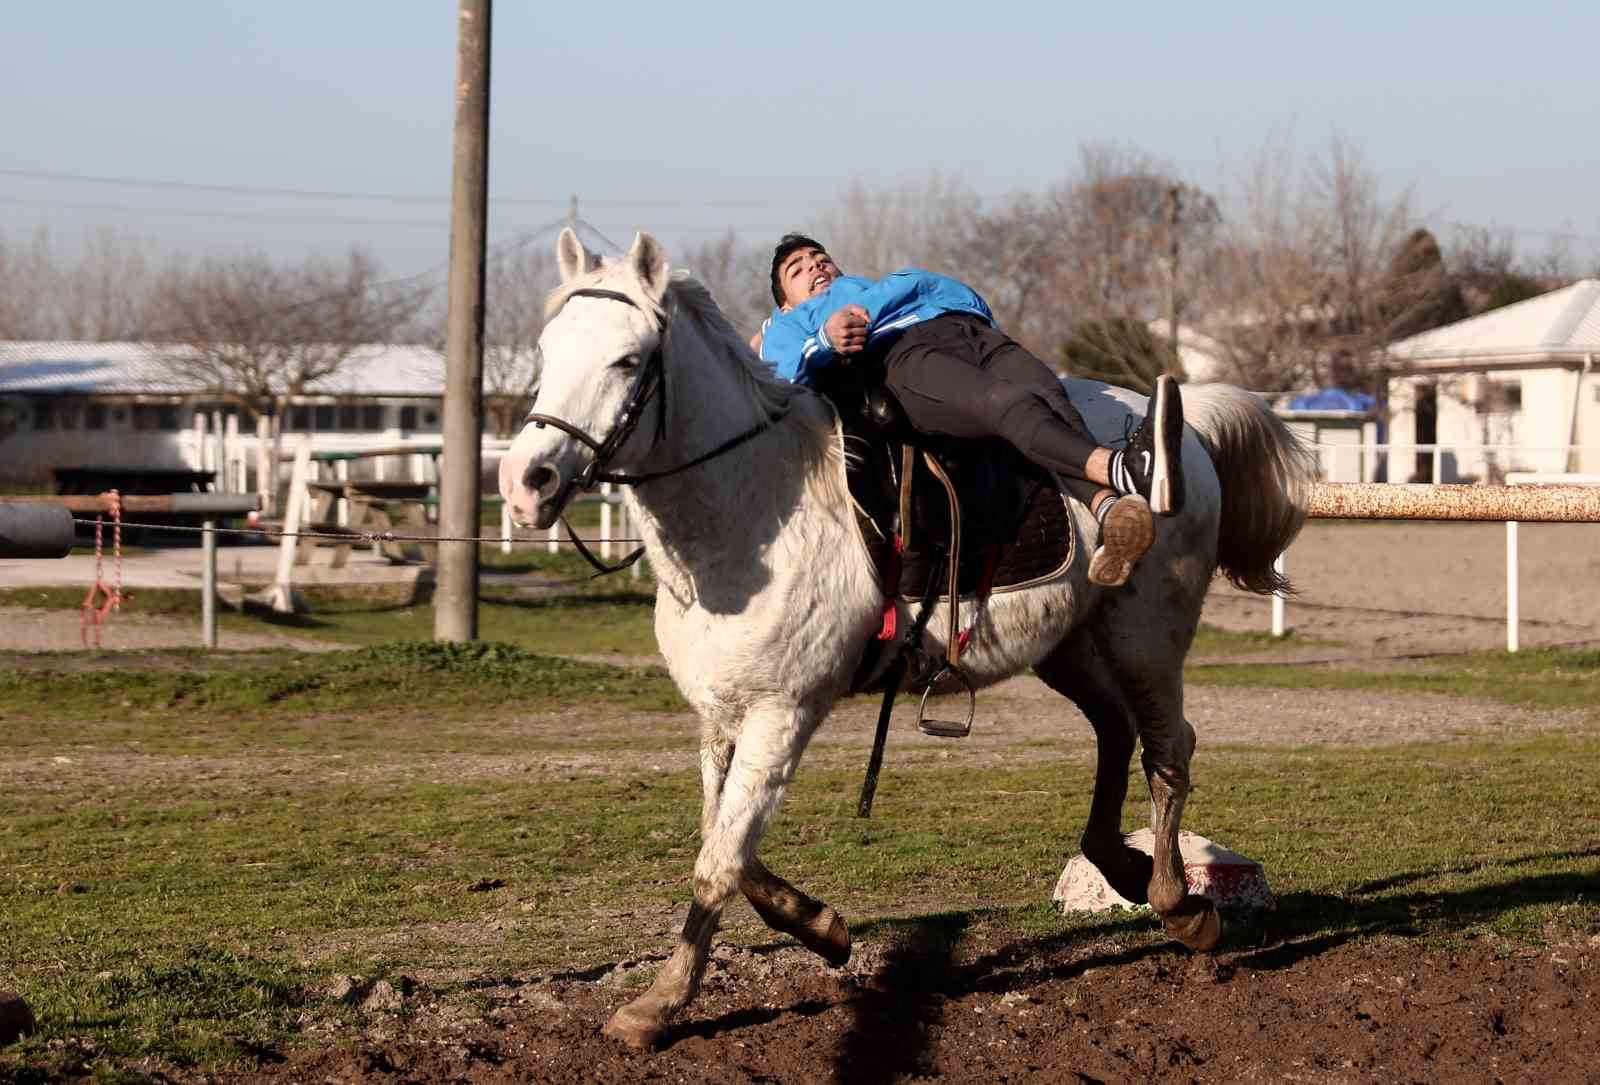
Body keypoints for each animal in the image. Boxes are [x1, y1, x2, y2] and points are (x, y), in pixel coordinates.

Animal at [499, 232, 1312, 1056]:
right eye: (548, 349)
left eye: (627, 360)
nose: (526, 481)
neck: (753, 506)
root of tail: (1184, 430)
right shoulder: (722, 718)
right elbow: (726, 845)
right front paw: (822, 928)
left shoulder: (782, 713)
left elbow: (719, 860)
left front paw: (660, 1003)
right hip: (1070, 647)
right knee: (1116, 734)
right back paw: (1119, 861)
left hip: (1146, 638)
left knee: (1168, 749)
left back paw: (1179, 902)